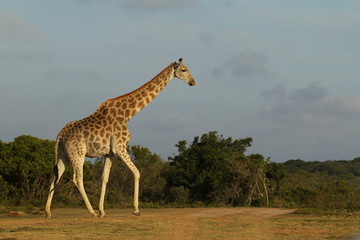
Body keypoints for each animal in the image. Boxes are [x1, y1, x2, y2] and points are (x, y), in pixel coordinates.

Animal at [45, 58, 197, 218]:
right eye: (184, 70)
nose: (193, 82)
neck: (128, 114)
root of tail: (59, 136)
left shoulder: (109, 153)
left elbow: (104, 178)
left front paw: (102, 211)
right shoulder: (120, 147)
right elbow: (137, 172)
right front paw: (136, 210)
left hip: (63, 155)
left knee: (54, 176)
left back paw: (48, 211)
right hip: (78, 154)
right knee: (77, 179)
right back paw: (91, 212)